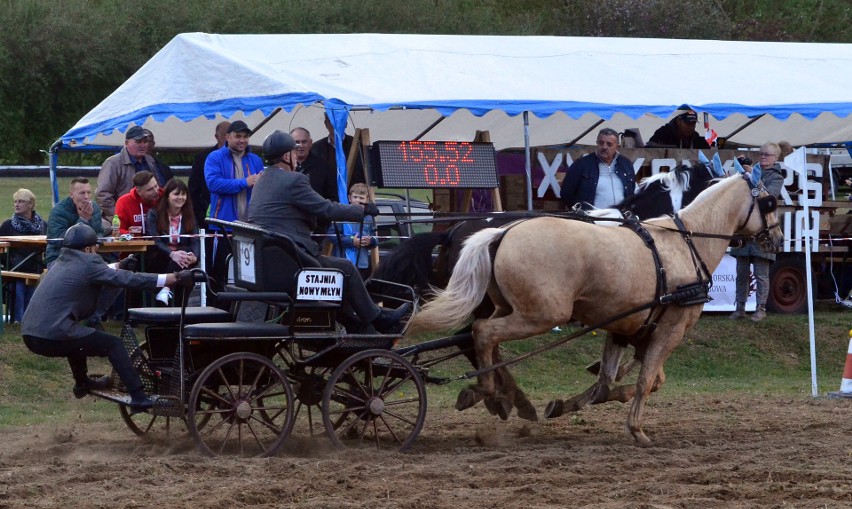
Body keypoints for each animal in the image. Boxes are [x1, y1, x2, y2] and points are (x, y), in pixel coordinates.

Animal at [410, 172, 784, 444]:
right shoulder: (671, 329)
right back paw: (488, 393)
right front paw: (636, 429)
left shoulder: (625, 328)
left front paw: (565, 404)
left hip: (508, 308)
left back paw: (503, 398)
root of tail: (502, 232)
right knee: (482, 333)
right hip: (540, 315)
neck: (685, 244)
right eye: (769, 202)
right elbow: (647, 380)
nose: (779, 239)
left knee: (482, 340)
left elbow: (612, 382)